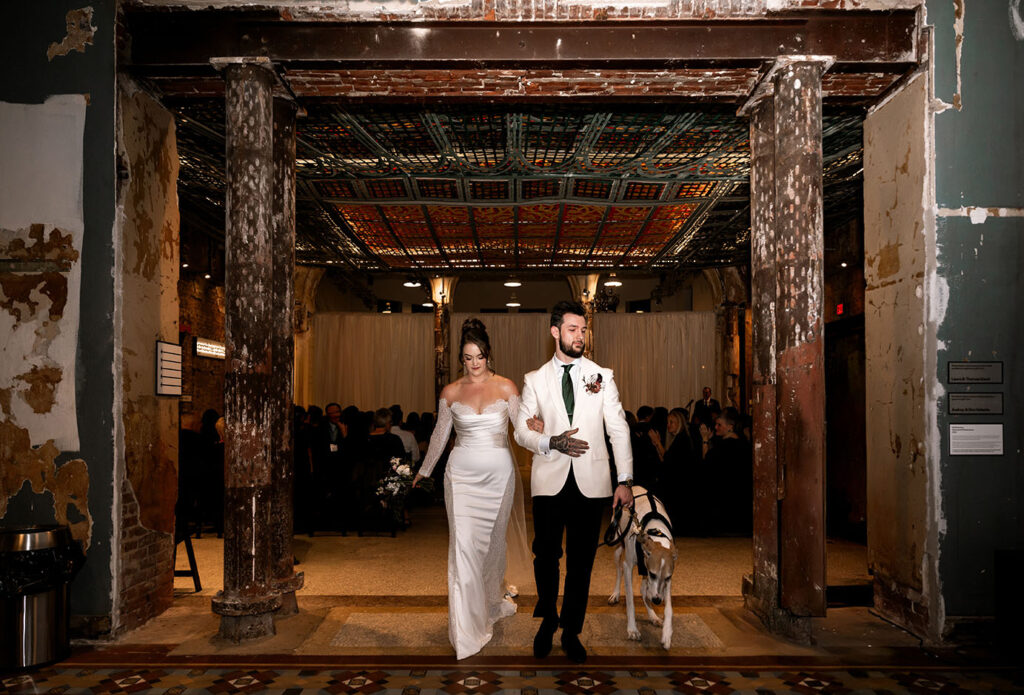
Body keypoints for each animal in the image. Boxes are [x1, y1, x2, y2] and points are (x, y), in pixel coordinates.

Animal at [602, 487, 675, 650]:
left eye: (667, 577)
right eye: (653, 574)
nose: (657, 601)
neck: (656, 532)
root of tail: (634, 487)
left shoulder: (666, 577)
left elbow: (668, 607)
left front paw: (667, 633)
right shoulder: (630, 566)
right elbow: (630, 601)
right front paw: (632, 630)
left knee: (644, 591)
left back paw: (653, 615)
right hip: (617, 546)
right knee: (619, 571)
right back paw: (615, 594)